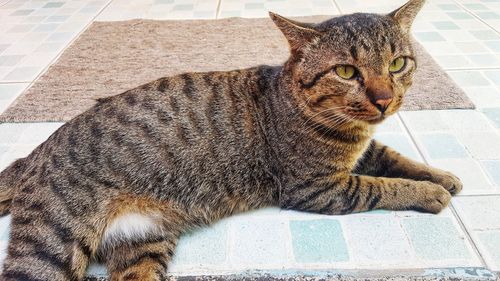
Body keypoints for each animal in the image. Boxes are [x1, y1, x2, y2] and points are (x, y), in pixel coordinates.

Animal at [0, 0, 460, 278]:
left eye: (398, 64)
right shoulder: (318, 187)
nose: (384, 99)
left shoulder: (361, 152)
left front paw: (441, 175)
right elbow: (382, 185)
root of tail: (34, 154)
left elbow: (396, 158)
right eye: (346, 72)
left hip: (142, 241)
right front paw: (429, 192)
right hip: (52, 243)